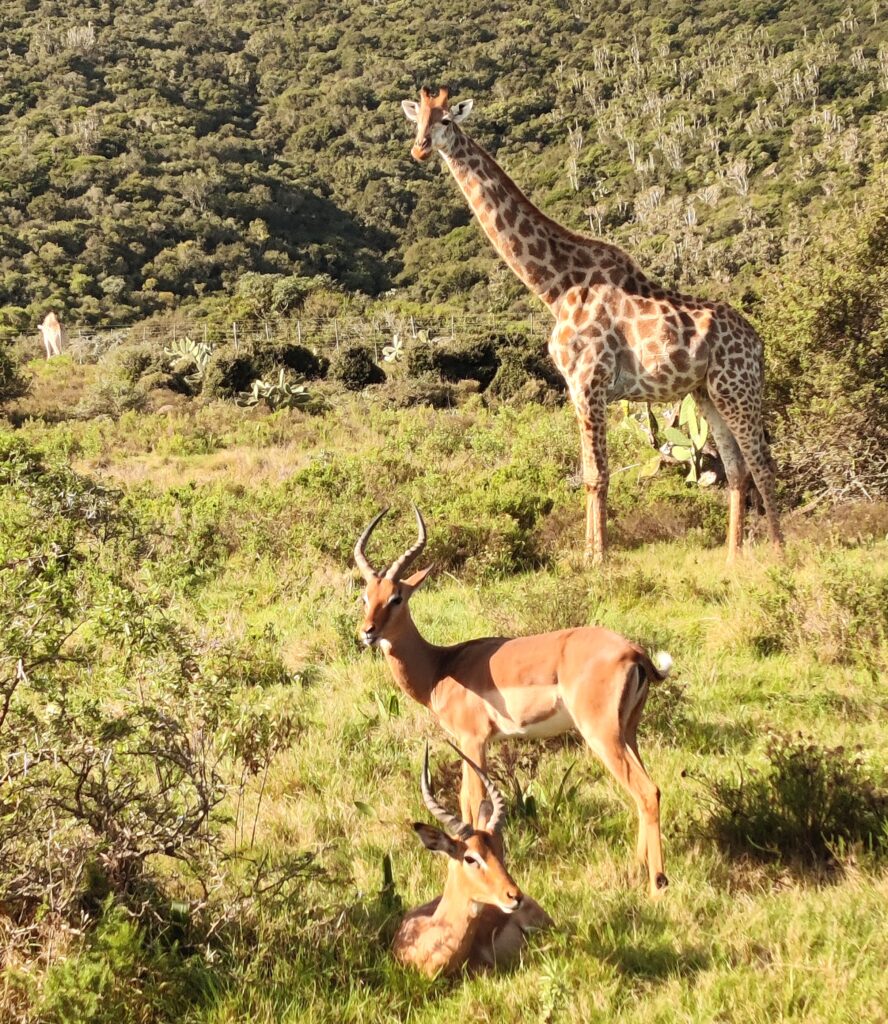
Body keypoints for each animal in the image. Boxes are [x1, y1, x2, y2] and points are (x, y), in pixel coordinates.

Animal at [399, 86, 782, 569]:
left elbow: (598, 475)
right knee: (735, 468)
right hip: (708, 393)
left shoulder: (590, 380)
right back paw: (733, 556)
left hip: (738, 388)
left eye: (446, 120)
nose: (420, 149)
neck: (556, 285)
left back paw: (780, 548)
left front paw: (598, 558)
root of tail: (759, 343)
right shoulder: (575, 386)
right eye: (417, 121)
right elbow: (586, 473)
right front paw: (586, 553)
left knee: (762, 462)